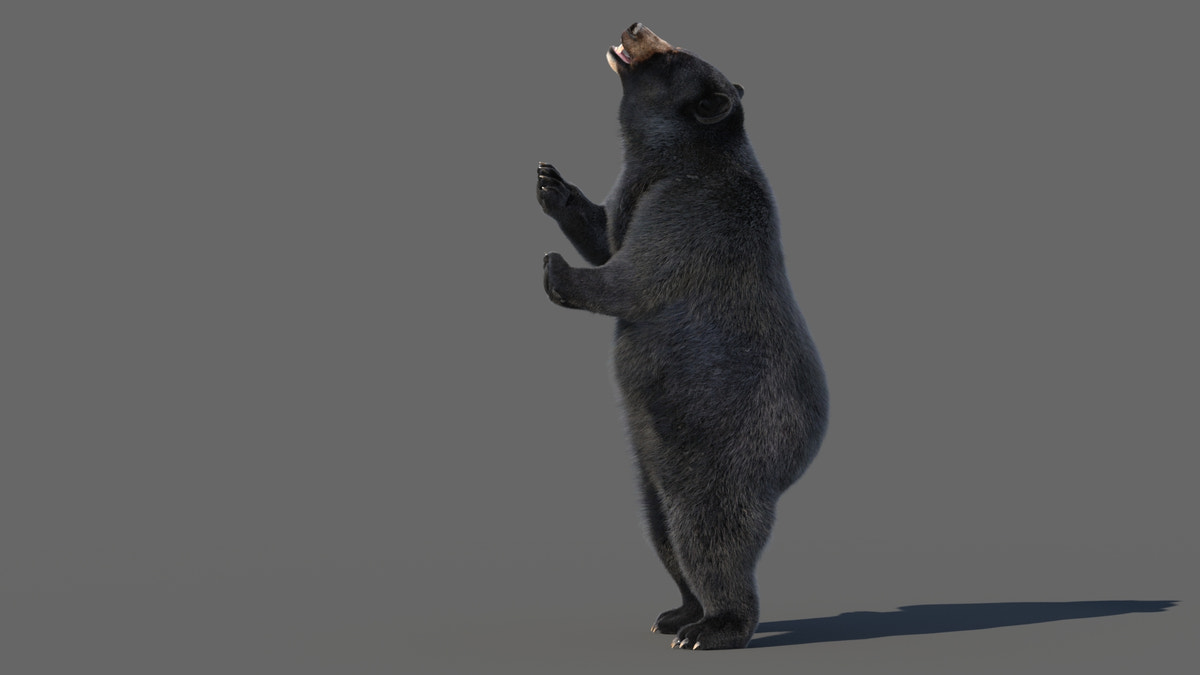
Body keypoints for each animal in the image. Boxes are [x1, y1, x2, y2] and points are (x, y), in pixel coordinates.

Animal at [537, 23, 829, 650]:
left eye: (672, 54)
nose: (634, 26)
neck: (672, 158)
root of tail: (796, 464)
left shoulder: (693, 207)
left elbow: (638, 273)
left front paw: (555, 269)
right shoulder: (637, 190)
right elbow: (607, 234)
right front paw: (552, 185)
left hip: (725, 451)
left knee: (708, 535)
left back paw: (713, 627)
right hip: (652, 468)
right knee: (662, 531)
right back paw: (676, 613)